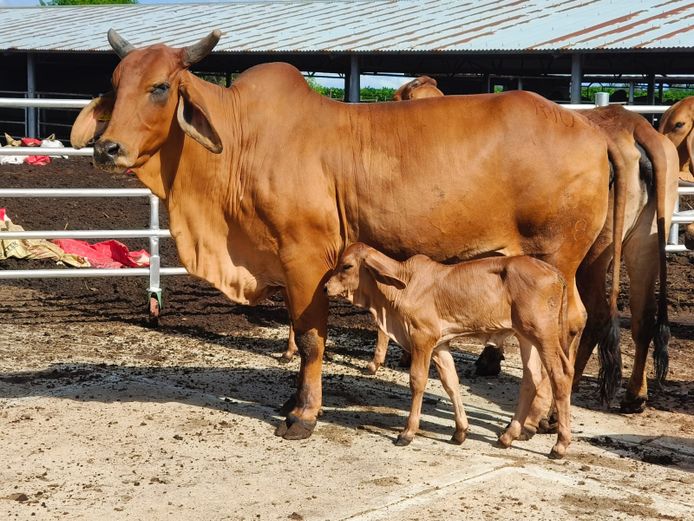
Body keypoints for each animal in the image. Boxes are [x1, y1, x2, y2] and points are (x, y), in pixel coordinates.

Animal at [326, 242, 576, 458]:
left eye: (347, 266)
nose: (327, 287)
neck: (403, 286)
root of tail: (555, 273)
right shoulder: (440, 345)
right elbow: (451, 383)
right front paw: (460, 431)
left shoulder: (422, 339)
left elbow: (417, 381)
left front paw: (407, 433)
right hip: (526, 337)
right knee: (531, 379)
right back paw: (508, 436)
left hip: (543, 334)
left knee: (560, 374)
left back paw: (559, 445)